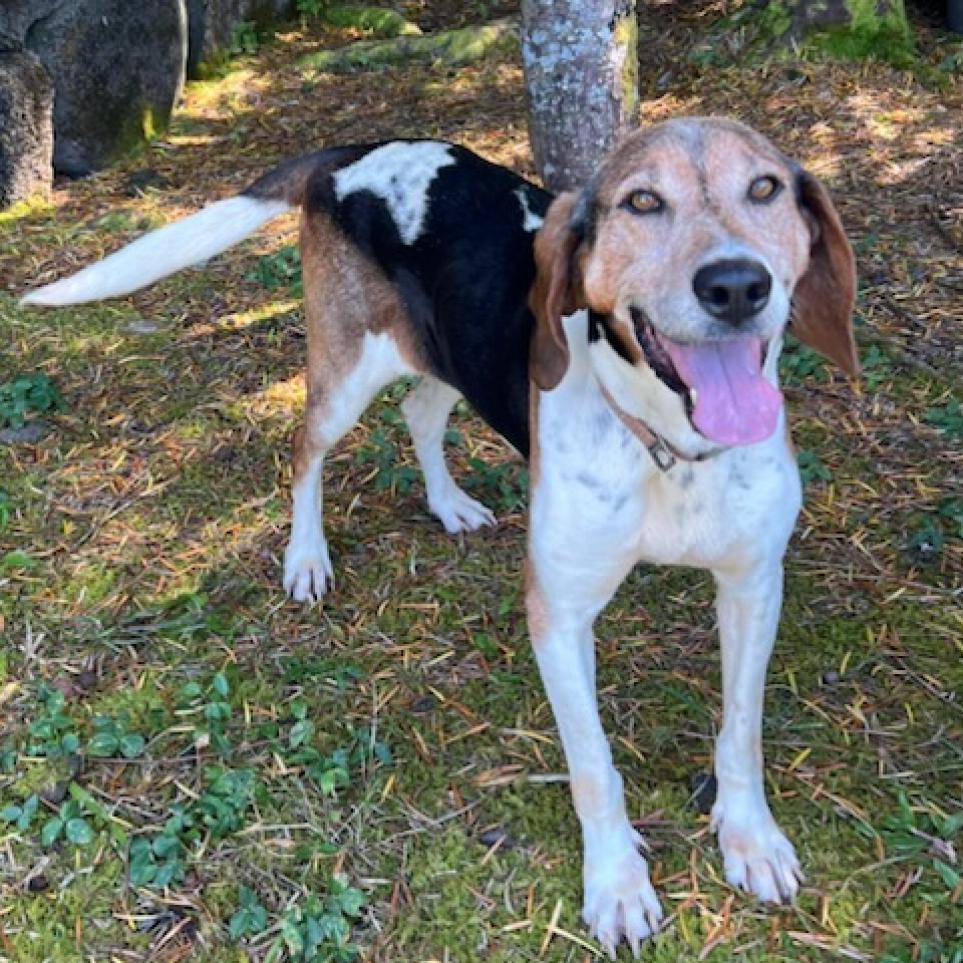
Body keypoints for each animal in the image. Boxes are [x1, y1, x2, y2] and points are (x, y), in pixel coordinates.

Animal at [24, 118, 860, 956]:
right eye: (641, 201)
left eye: (764, 188)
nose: (736, 286)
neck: (669, 447)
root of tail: (352, 153)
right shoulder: (559, 617)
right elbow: (593, 766)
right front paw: (617, 884)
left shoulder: (752, 586)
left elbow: (741, 733)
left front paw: (749, 839)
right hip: (345, 372)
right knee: (305, 451)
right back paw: (306, 558)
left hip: (445, 355)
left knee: (419, 414)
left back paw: (449, 503)